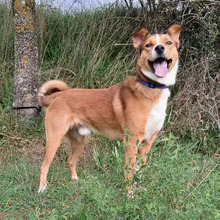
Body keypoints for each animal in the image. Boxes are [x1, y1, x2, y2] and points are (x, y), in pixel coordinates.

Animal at [38, 24, 186, 192]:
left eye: (168, 43)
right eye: (149, 45)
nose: (159, 48)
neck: (151, 87)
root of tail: (58, 95)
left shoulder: (146, 145)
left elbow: (139, 171)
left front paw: (140, 190)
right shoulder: (131, 143)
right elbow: (130, 173)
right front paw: (130, 194)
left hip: (79, 140)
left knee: (70, 160)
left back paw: (75, 180)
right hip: (54, 138)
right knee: (44, 166)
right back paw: (42, 189)